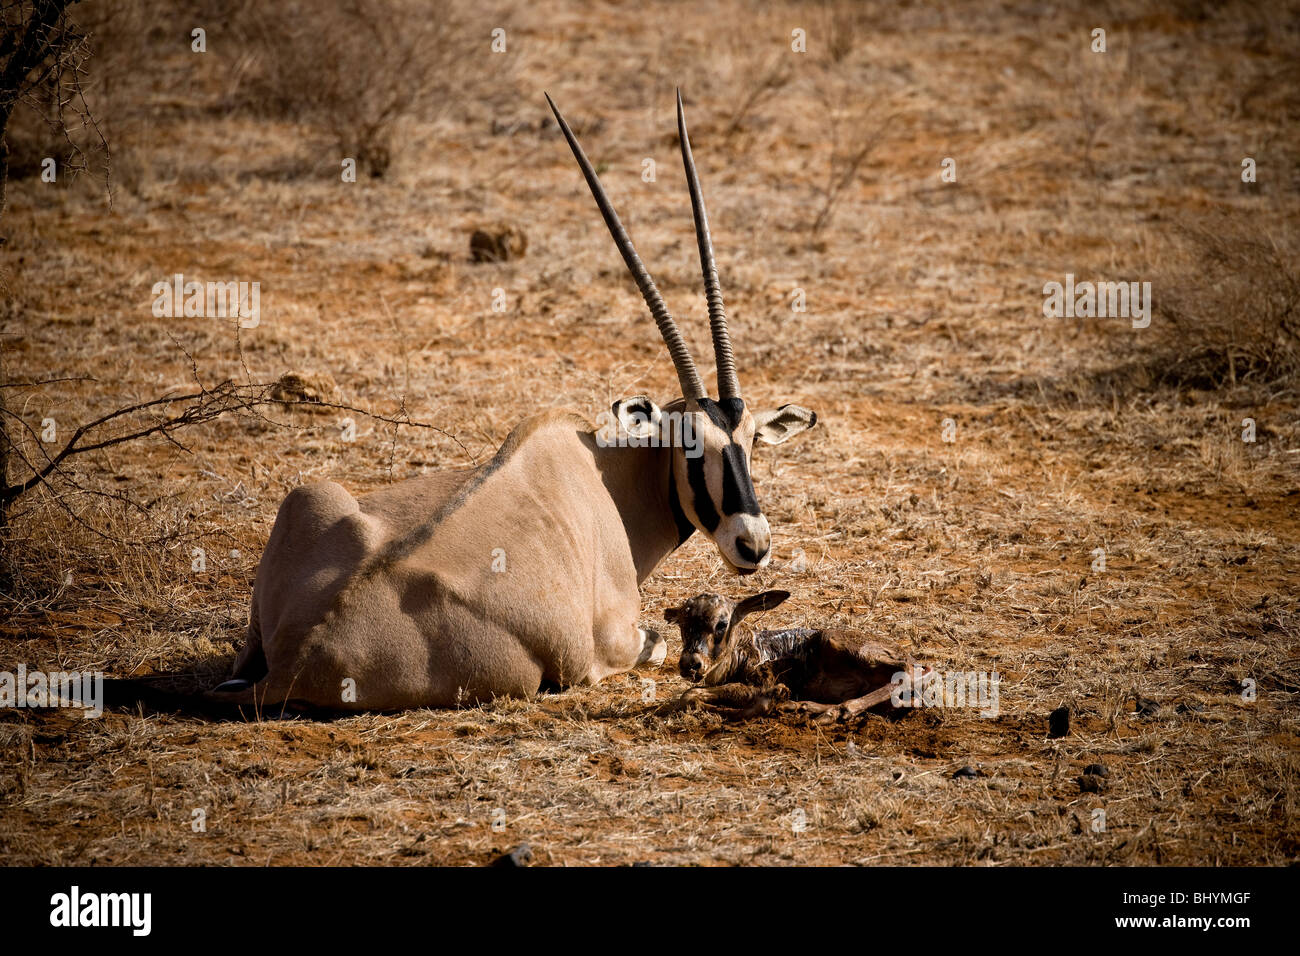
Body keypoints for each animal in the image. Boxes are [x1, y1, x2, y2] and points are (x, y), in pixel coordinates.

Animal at [665, 587, 909, 723]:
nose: (690, 664)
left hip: (835, 640)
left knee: (909, 670)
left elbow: (692, 694)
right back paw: (809, 708)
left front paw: (772, 699)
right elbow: (691, 697)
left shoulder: (761, 680)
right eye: (682, 625)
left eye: (721, 624)